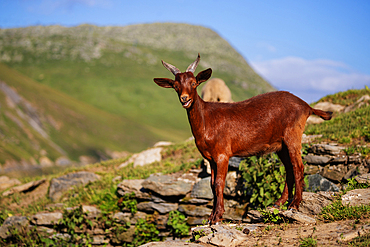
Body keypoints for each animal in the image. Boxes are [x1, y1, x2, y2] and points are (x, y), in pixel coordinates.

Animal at [153, 54, 332, 224]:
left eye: (194, 83)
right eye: (176, 86)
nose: (185, 99)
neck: (206, 121)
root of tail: (306, 106)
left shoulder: (222, 154)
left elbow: (219, 183)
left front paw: (218, 217)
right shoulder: (210, 158)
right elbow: (211, 184)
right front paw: (211, 217)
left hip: (293, 135)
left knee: (298, 167)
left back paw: (294, 204)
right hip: (280, 145)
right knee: (289, 168)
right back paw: (278, 203)